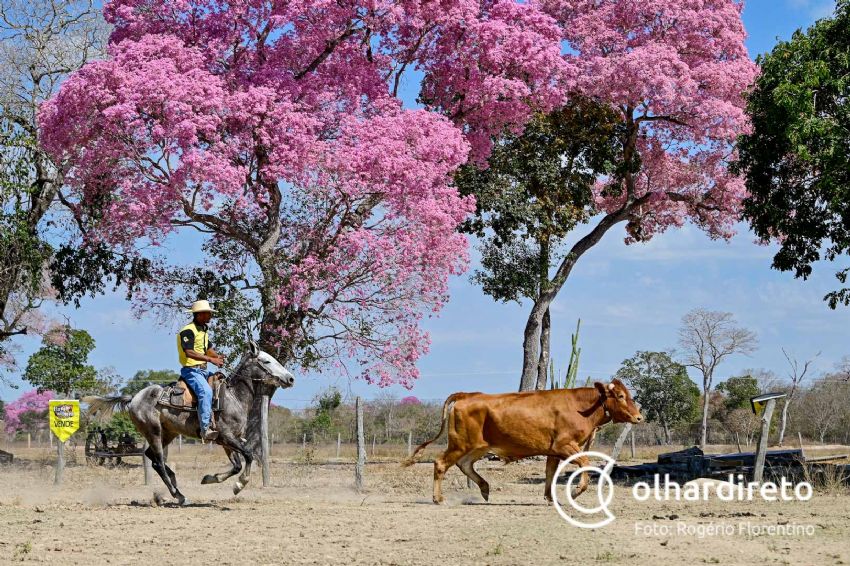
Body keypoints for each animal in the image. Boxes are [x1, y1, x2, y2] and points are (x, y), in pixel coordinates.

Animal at [83, 340, 294, 508]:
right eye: (267, 361)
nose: (290, 378)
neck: (233, 397)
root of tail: (133, 398)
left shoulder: (226, 440)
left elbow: (236, 465)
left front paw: (210, 479)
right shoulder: (227, 437)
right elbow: (248, 455)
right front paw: (239, 485)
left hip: (169, 433)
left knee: (153, 458)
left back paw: (174, 485)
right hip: (154, 432)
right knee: (158, 461)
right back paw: (179, 495)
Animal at [400, 382, 640, 506]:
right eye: (620, 395)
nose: (639, 417)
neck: (580, 407)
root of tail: (468, 395)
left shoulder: (552, 451)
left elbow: (550, 473)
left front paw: (551, 498)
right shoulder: (564, 445)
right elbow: (585, 463)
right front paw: (576, 492)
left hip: (478, 446)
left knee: (465, 465)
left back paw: (485, 489)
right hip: (460, 444)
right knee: (441, 463)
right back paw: (438, 498)